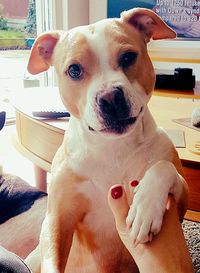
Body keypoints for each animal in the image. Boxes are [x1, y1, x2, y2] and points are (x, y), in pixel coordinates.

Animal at [26, 7, 188, 272]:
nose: (111, 97)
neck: (112, 148)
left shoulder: (181, 200)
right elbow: (52, 257)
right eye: (74, 70)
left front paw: (145, 207)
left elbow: (163, 167)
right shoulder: (57, 218)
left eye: (128, 57)